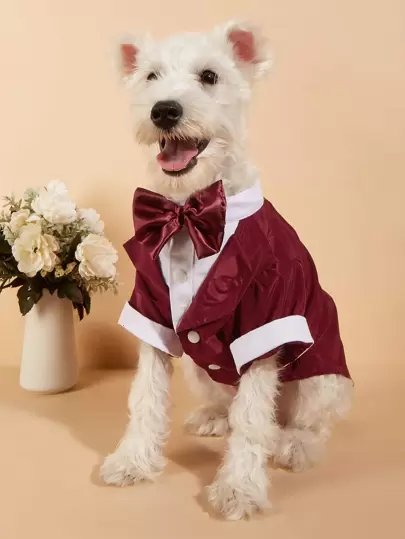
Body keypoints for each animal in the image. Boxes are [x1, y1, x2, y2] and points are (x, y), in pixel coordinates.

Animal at [100, 20, 354, 520]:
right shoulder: (151, 314)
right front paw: (133, 460)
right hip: (203, 372)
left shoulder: (265, 320)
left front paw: (239, 489)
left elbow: (253, 418)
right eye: (151, 76)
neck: (190, 212)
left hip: (320, 379)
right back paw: (213, 418)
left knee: (307, 425)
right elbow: (145, 397)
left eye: (209, 76)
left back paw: (294, 445)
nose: (164, 111)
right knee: (227, 400)